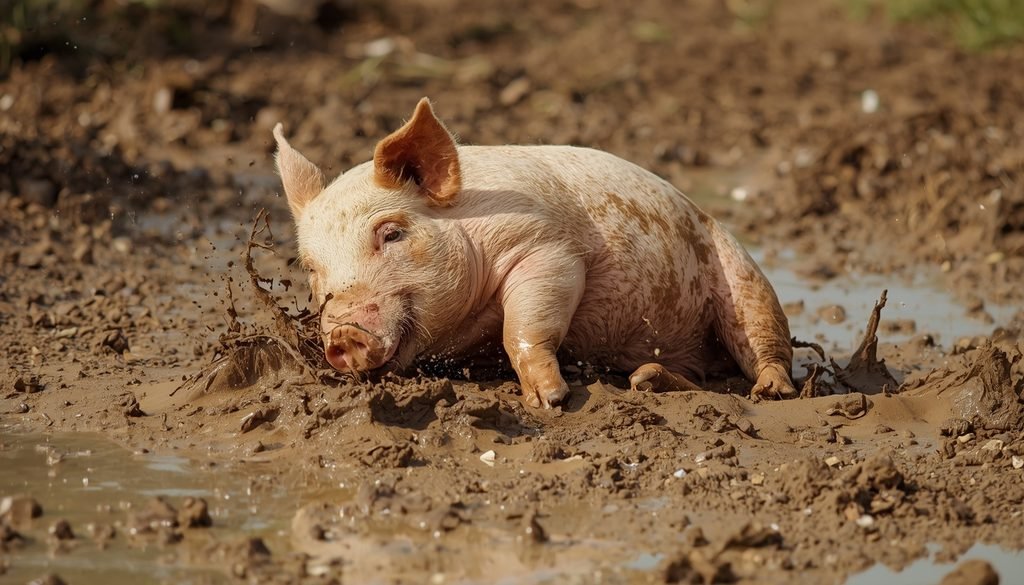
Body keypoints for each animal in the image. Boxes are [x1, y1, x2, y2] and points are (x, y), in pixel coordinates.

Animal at [273, 98, 795, 408]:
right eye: (310, 268)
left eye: (392, 234)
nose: (343, 337)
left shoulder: (546, 248)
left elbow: (522, 327)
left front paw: (547, 400)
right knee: (698, 379)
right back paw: (646, 381)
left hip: (742, 272)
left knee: (764, 340)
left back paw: (771, 392)